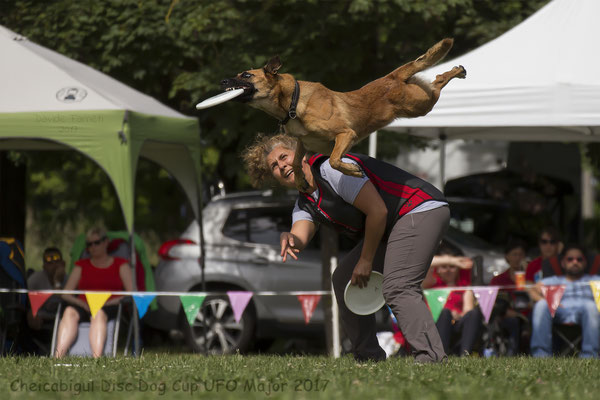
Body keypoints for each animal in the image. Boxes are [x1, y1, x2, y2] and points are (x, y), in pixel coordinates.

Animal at [223, 38, 466, 190]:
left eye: (246, 75)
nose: (223, 81)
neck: (292, 102)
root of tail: (392, 76)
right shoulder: (305, 143)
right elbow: (296, 162)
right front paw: (301, 181)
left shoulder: (345, 134)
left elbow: (333, 161)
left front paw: (352, 171)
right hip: (420, 103)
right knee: (435, 80)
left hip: (420, 105)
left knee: (438, 83)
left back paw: (457, 70)